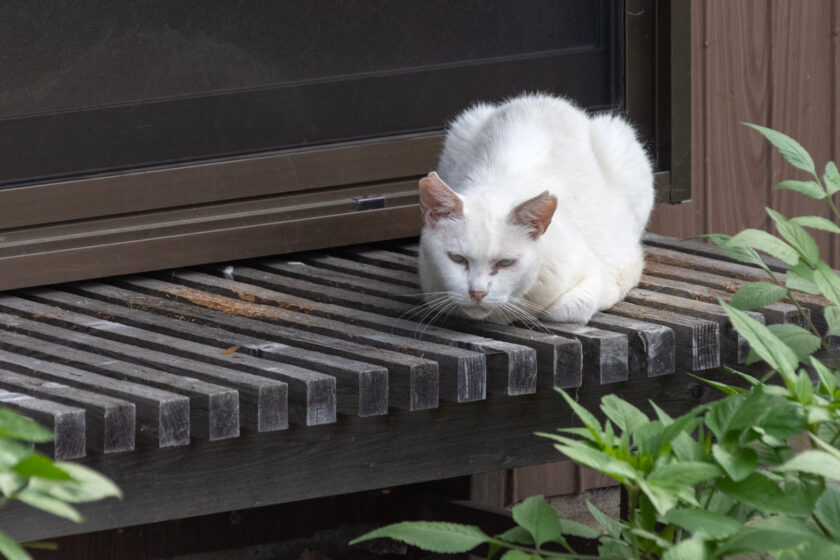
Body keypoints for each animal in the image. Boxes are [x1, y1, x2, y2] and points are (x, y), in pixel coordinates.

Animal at [420, 94, 656, 326]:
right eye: (457, 259)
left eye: (506, 263)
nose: (477, 292)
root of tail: (543, 98)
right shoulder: (432, 287)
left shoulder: (592, 274)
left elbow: (565, 309)